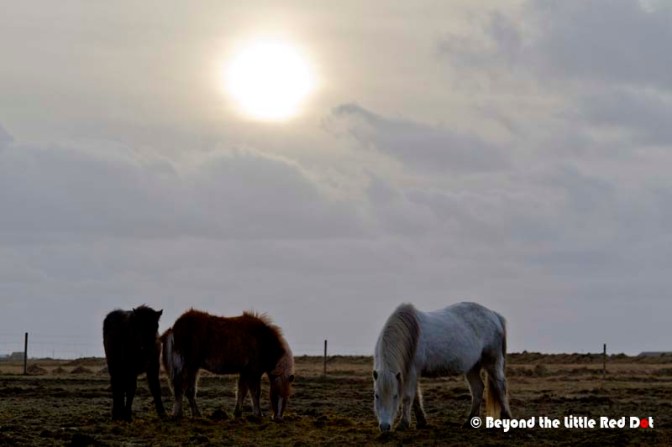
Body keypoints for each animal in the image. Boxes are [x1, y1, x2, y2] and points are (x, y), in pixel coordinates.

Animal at [161, 309, 295, 421]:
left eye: (288, 396)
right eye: (276, 393)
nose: (278, 418)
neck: (263, 341)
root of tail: (175, 327)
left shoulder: (245, 372)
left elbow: (242, 391)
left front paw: (238, 414)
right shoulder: (253, 372)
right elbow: (256, 392)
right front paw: (258, 414)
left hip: (193, 368)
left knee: (188, 390)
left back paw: (193, 415)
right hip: (188, 366)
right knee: (181, 387)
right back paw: (180, 414)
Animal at [372, 302, 511, 432]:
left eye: (395, 396)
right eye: (376, 395)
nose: (384, 427)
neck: (411, 335)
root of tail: (494, 315)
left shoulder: (411, 372)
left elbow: (407, 397)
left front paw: (403, 424)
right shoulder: (411, 374)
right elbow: (416, 398)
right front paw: (421, 422)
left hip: (492, 362)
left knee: (500, 386)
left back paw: (506, 418)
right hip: (472, 367)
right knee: (477, 389)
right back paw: (469, 422)